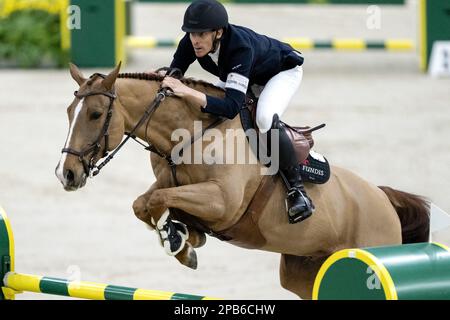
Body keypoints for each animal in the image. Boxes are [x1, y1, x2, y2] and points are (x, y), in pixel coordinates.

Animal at [55, 63, 428, 300]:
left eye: (96, 115)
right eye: (69, 113)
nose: (66, 173)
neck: (190, 134)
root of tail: (385, 200)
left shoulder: (222, 202)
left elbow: (156, 202)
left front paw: (179, 240)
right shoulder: (171, 185)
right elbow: (144, 203)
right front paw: (183, 237)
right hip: (302, 272)